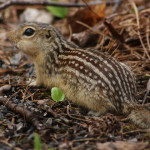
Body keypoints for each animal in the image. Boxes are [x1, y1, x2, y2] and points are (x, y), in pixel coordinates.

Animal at [8, 22, 150, 128]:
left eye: (28, 32)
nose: (9, 38)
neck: (53, 49)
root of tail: (126, 97)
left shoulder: (43, 70)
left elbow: (39, 81)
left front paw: (29, 81)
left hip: (90, 95)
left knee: (107, 107)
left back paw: (94, 112)